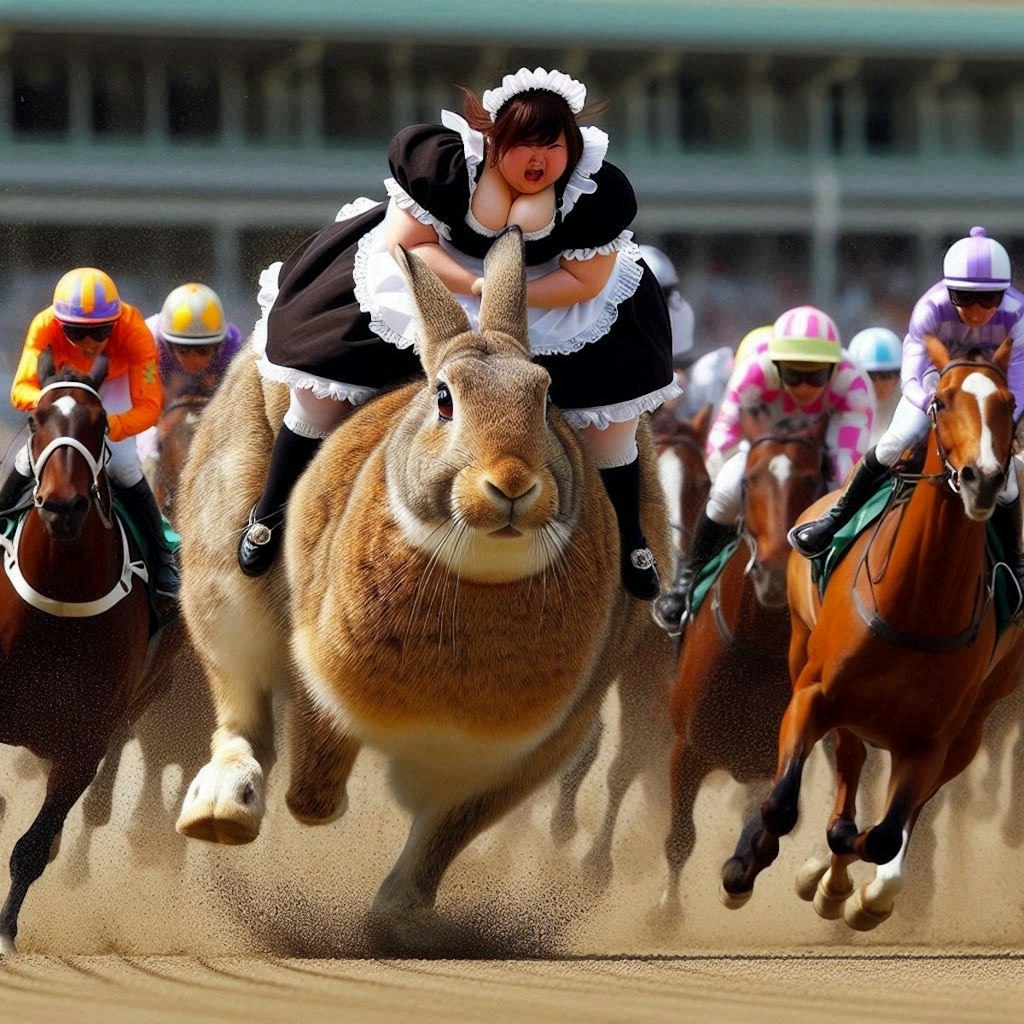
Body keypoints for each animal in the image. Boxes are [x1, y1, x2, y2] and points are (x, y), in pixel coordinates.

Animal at [0, 352, 165, 950]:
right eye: (35, 419)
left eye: (101, 424)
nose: (64, 506)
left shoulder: (84, 744)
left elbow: (31, 848)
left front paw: (6, 933)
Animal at [174, 230, 671, 921]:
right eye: (444, 400)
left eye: (547, 399)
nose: (511, 484)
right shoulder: (320, 674)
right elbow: (313, 787)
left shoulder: (527, 753)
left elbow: (445, 832)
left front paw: (399, 917)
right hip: (224, 581)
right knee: (241, 708)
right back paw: (222, 811)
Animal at [659, 411, 827, 917]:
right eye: (751, 481)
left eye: (813, 480)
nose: (774, 569)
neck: (754, 649)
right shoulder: (685, 749)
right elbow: (679, 838)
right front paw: (666, 911)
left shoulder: (769, 761)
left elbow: (764, 822)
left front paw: (739, 877)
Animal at [720, 339, 1024, 933]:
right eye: (941, 401)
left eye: (1009, 403)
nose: (983, 478)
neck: (916, 607)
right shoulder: (813, 695)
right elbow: (785, 805)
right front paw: (745, 866)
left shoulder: (930, 739)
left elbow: (881, 835)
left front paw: (855, 886)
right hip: (803, 649)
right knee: (845, 766)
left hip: (974, 721)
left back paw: (851, 886)